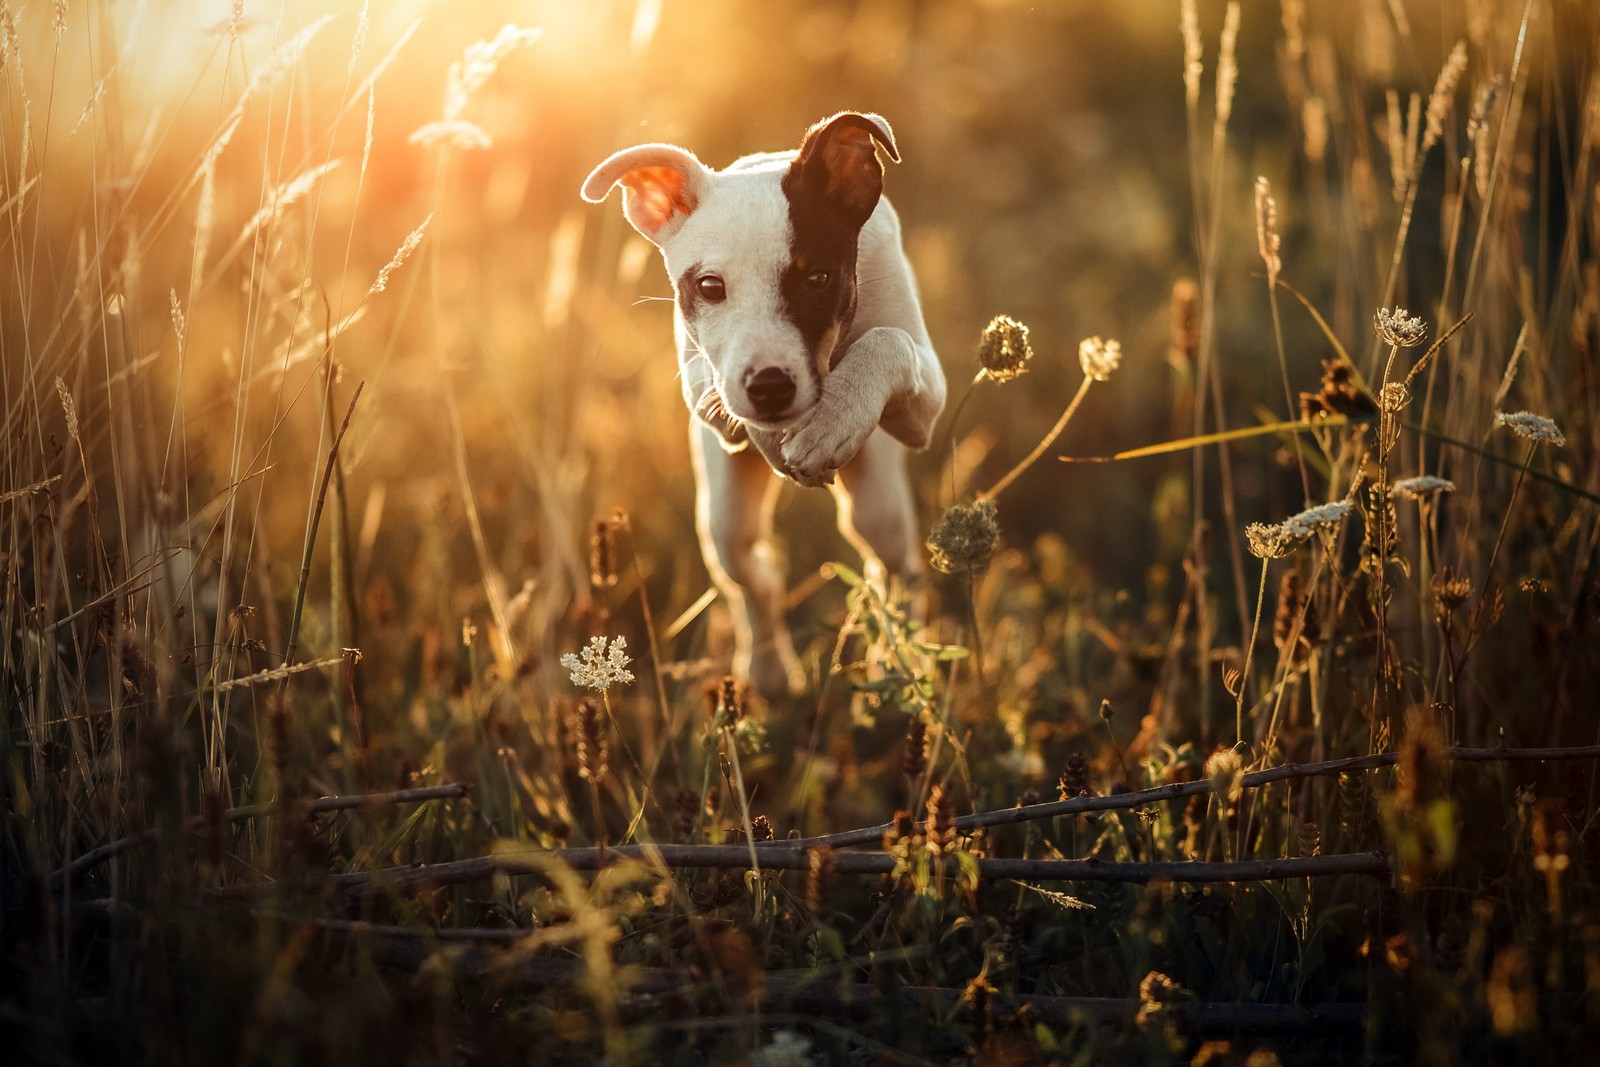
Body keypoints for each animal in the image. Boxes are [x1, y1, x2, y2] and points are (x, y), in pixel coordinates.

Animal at [582, 112, 940, 697]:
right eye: (709, 286)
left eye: (818, 278)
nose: (770, 388)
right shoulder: (699, 376)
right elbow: (714, 391)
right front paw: (776, 434)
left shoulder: (926, 404)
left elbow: (889, 341)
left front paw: (834, 419)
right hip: (724, 517)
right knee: (752, 573)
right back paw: (769, 672)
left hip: (879, 502)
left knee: (890, 563)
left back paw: (900, 660)